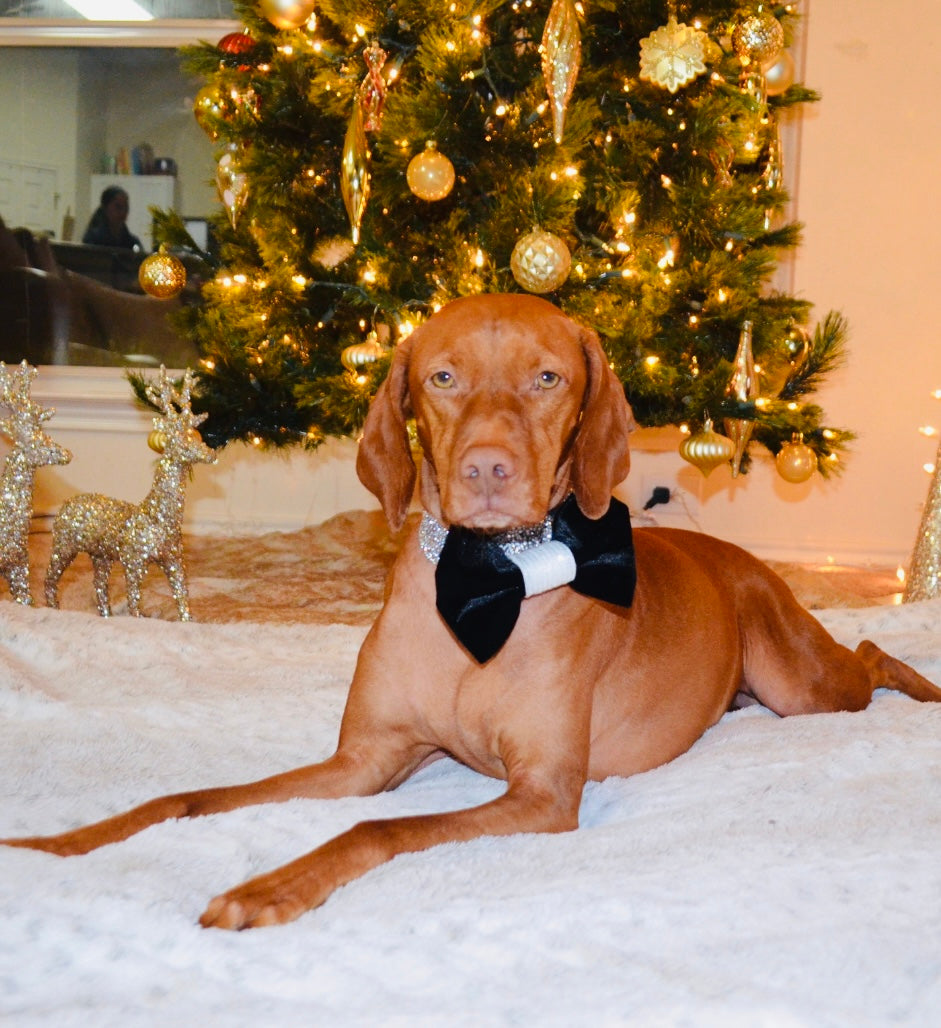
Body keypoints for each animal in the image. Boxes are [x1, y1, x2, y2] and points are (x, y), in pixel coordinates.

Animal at [3, 291, 937, 933]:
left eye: (547, 377)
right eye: (442, 378)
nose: (488, 469)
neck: (484, 582)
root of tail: (739, 556)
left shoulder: (542, 794)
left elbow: (369, 833)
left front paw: (267, 888)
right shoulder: (365, 759)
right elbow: (189, 798)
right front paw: (57, 846)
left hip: (800, 683)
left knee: (868, 649)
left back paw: (919, 683)